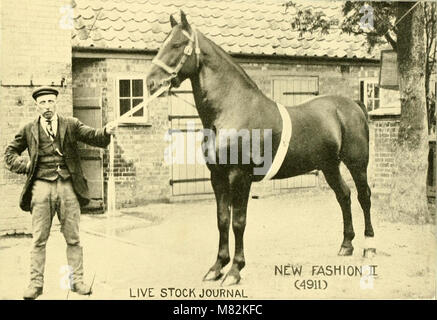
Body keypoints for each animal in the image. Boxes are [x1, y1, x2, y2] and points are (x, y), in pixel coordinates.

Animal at [147, 11, 374, 284]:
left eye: (178, 44)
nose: (150, 83)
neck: (232, 108)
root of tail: (352, 104)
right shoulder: (217, 177)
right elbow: (222, 219)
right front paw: (217, 267)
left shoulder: (240, 177)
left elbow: (238, 222)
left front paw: (235, 270)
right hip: (329, 166)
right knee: (344, 195)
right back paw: (346, 245)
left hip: (357, 164)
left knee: (364, 196)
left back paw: (369, 246)